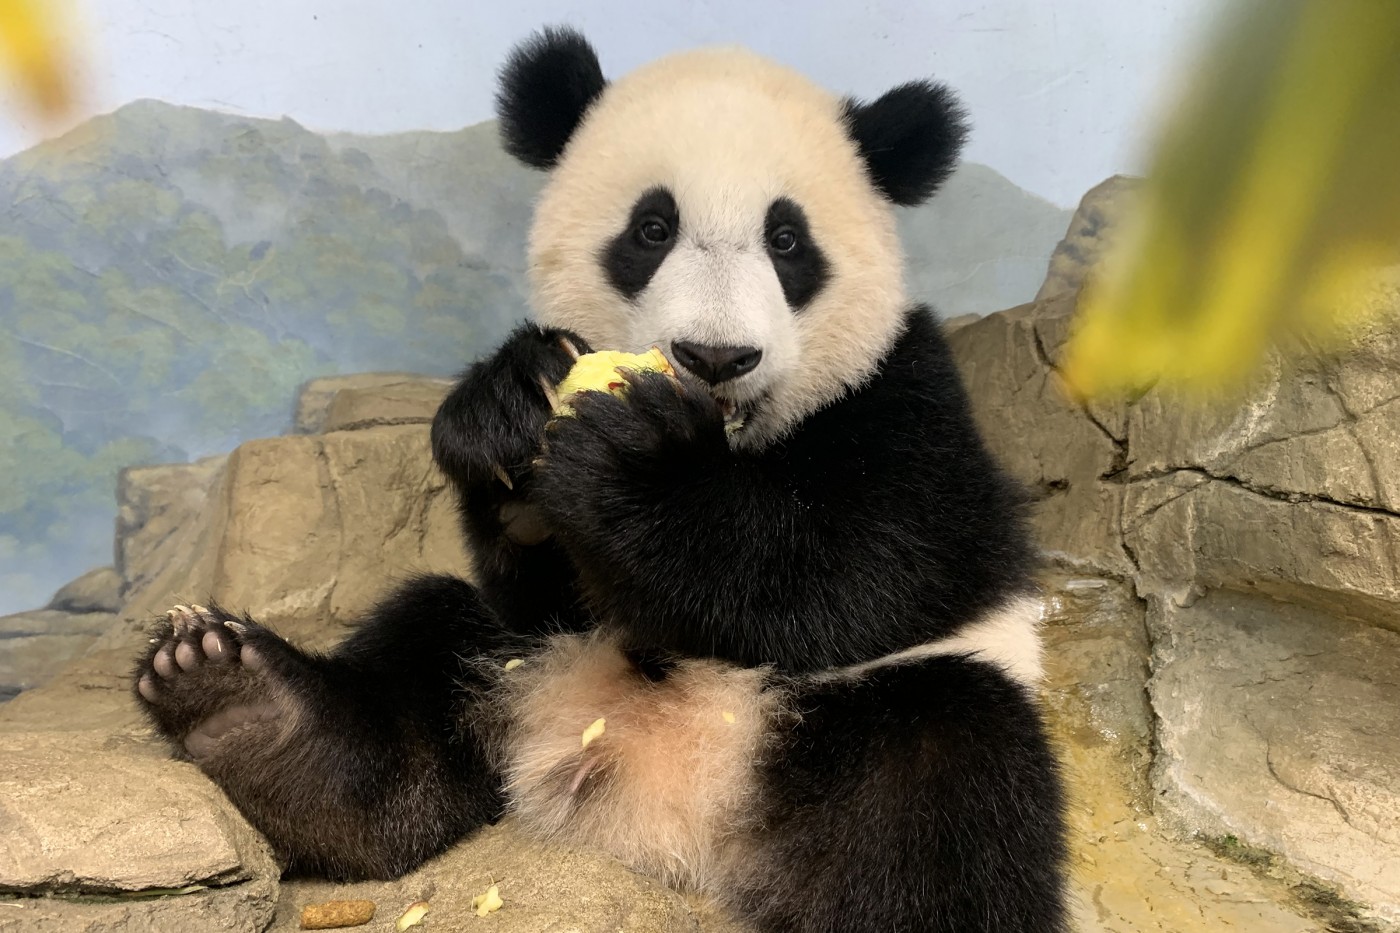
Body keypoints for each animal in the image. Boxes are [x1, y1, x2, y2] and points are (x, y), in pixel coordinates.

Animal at [136, 25, 1064, 924]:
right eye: (651, 230)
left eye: (787, 240)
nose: (716, 356)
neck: (726, 443)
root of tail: (667, 809)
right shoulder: (546, 599)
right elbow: (539, 577)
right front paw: (508, 406)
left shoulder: (910, 392)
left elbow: (864, 563)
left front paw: (637, 464)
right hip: (520, 656)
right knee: (424, 643)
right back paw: (246, 709)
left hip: (885, 716)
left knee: (939, 786)